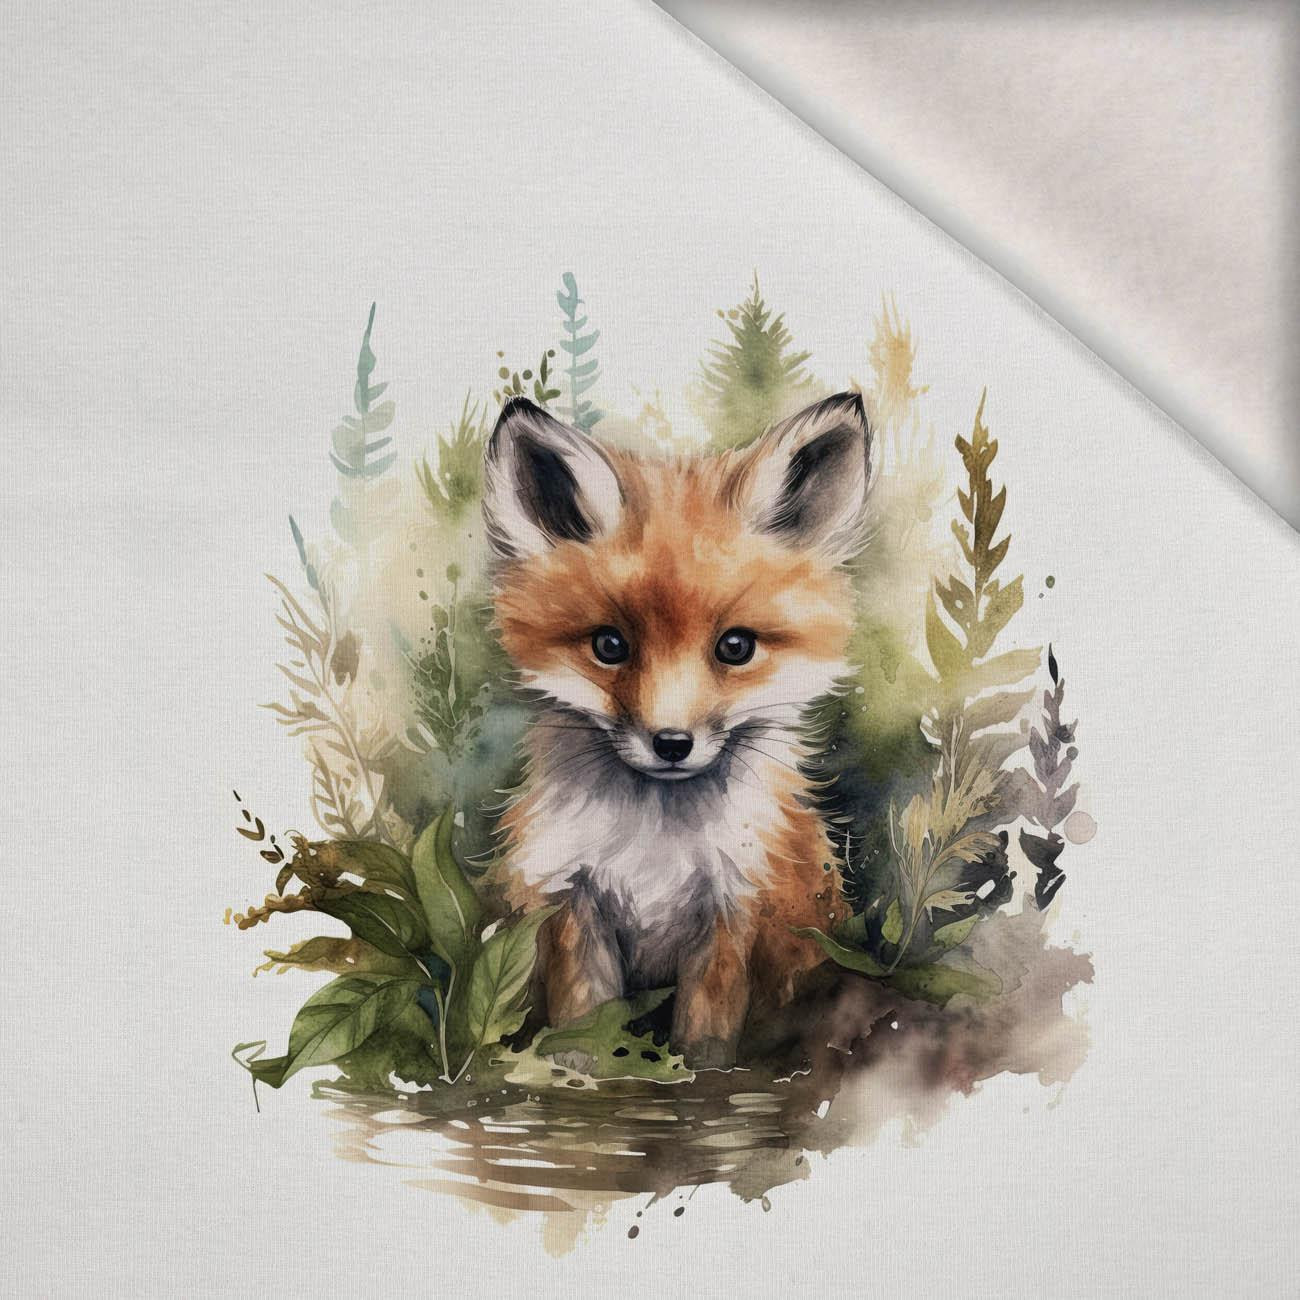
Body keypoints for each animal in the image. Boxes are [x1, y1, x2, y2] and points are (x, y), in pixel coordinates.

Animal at [482, 390, 873, 1069]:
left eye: (736, 647)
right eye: (609, 646)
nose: (671, 743)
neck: (654, 849)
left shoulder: (733, 911)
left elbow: (705, 1045)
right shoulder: (573, 905)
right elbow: (582, 1031)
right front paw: (576, 1082)